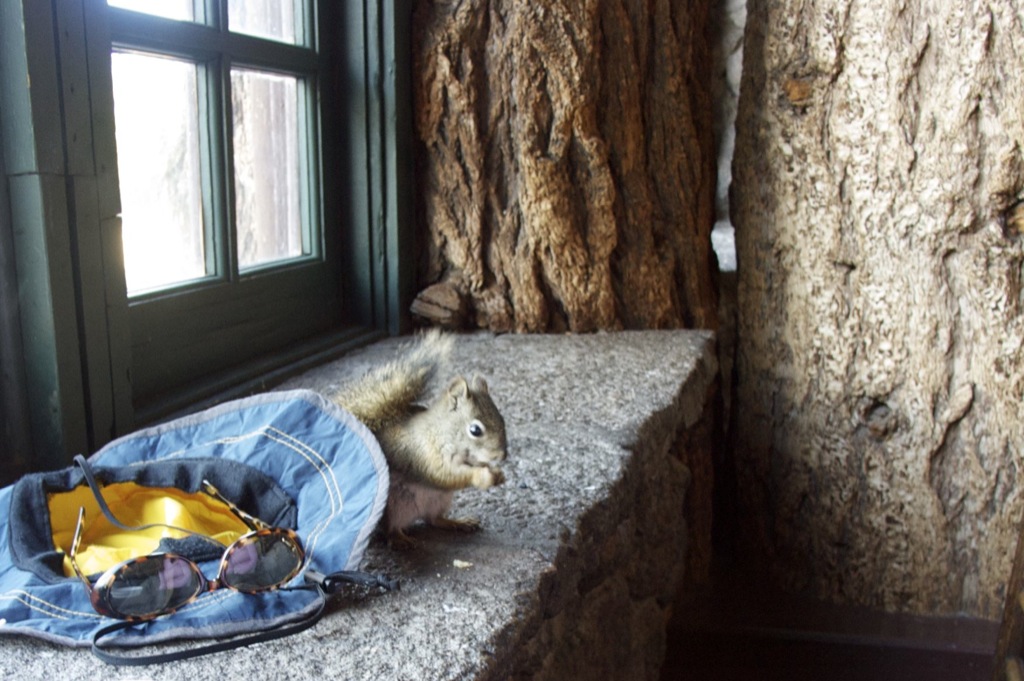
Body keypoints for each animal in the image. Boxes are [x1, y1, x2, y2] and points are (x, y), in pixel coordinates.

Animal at [331, 330, 508, 547]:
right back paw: (401, 539)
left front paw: (496, 473)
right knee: (391, 529)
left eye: (502, 419)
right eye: (475, 430)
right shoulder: (424, 454)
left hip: (439, 501)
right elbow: (445, 475)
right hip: (394, 506)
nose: (502, 456)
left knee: (434, 520)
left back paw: (458, 522)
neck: (442, 432)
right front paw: (483, 476)